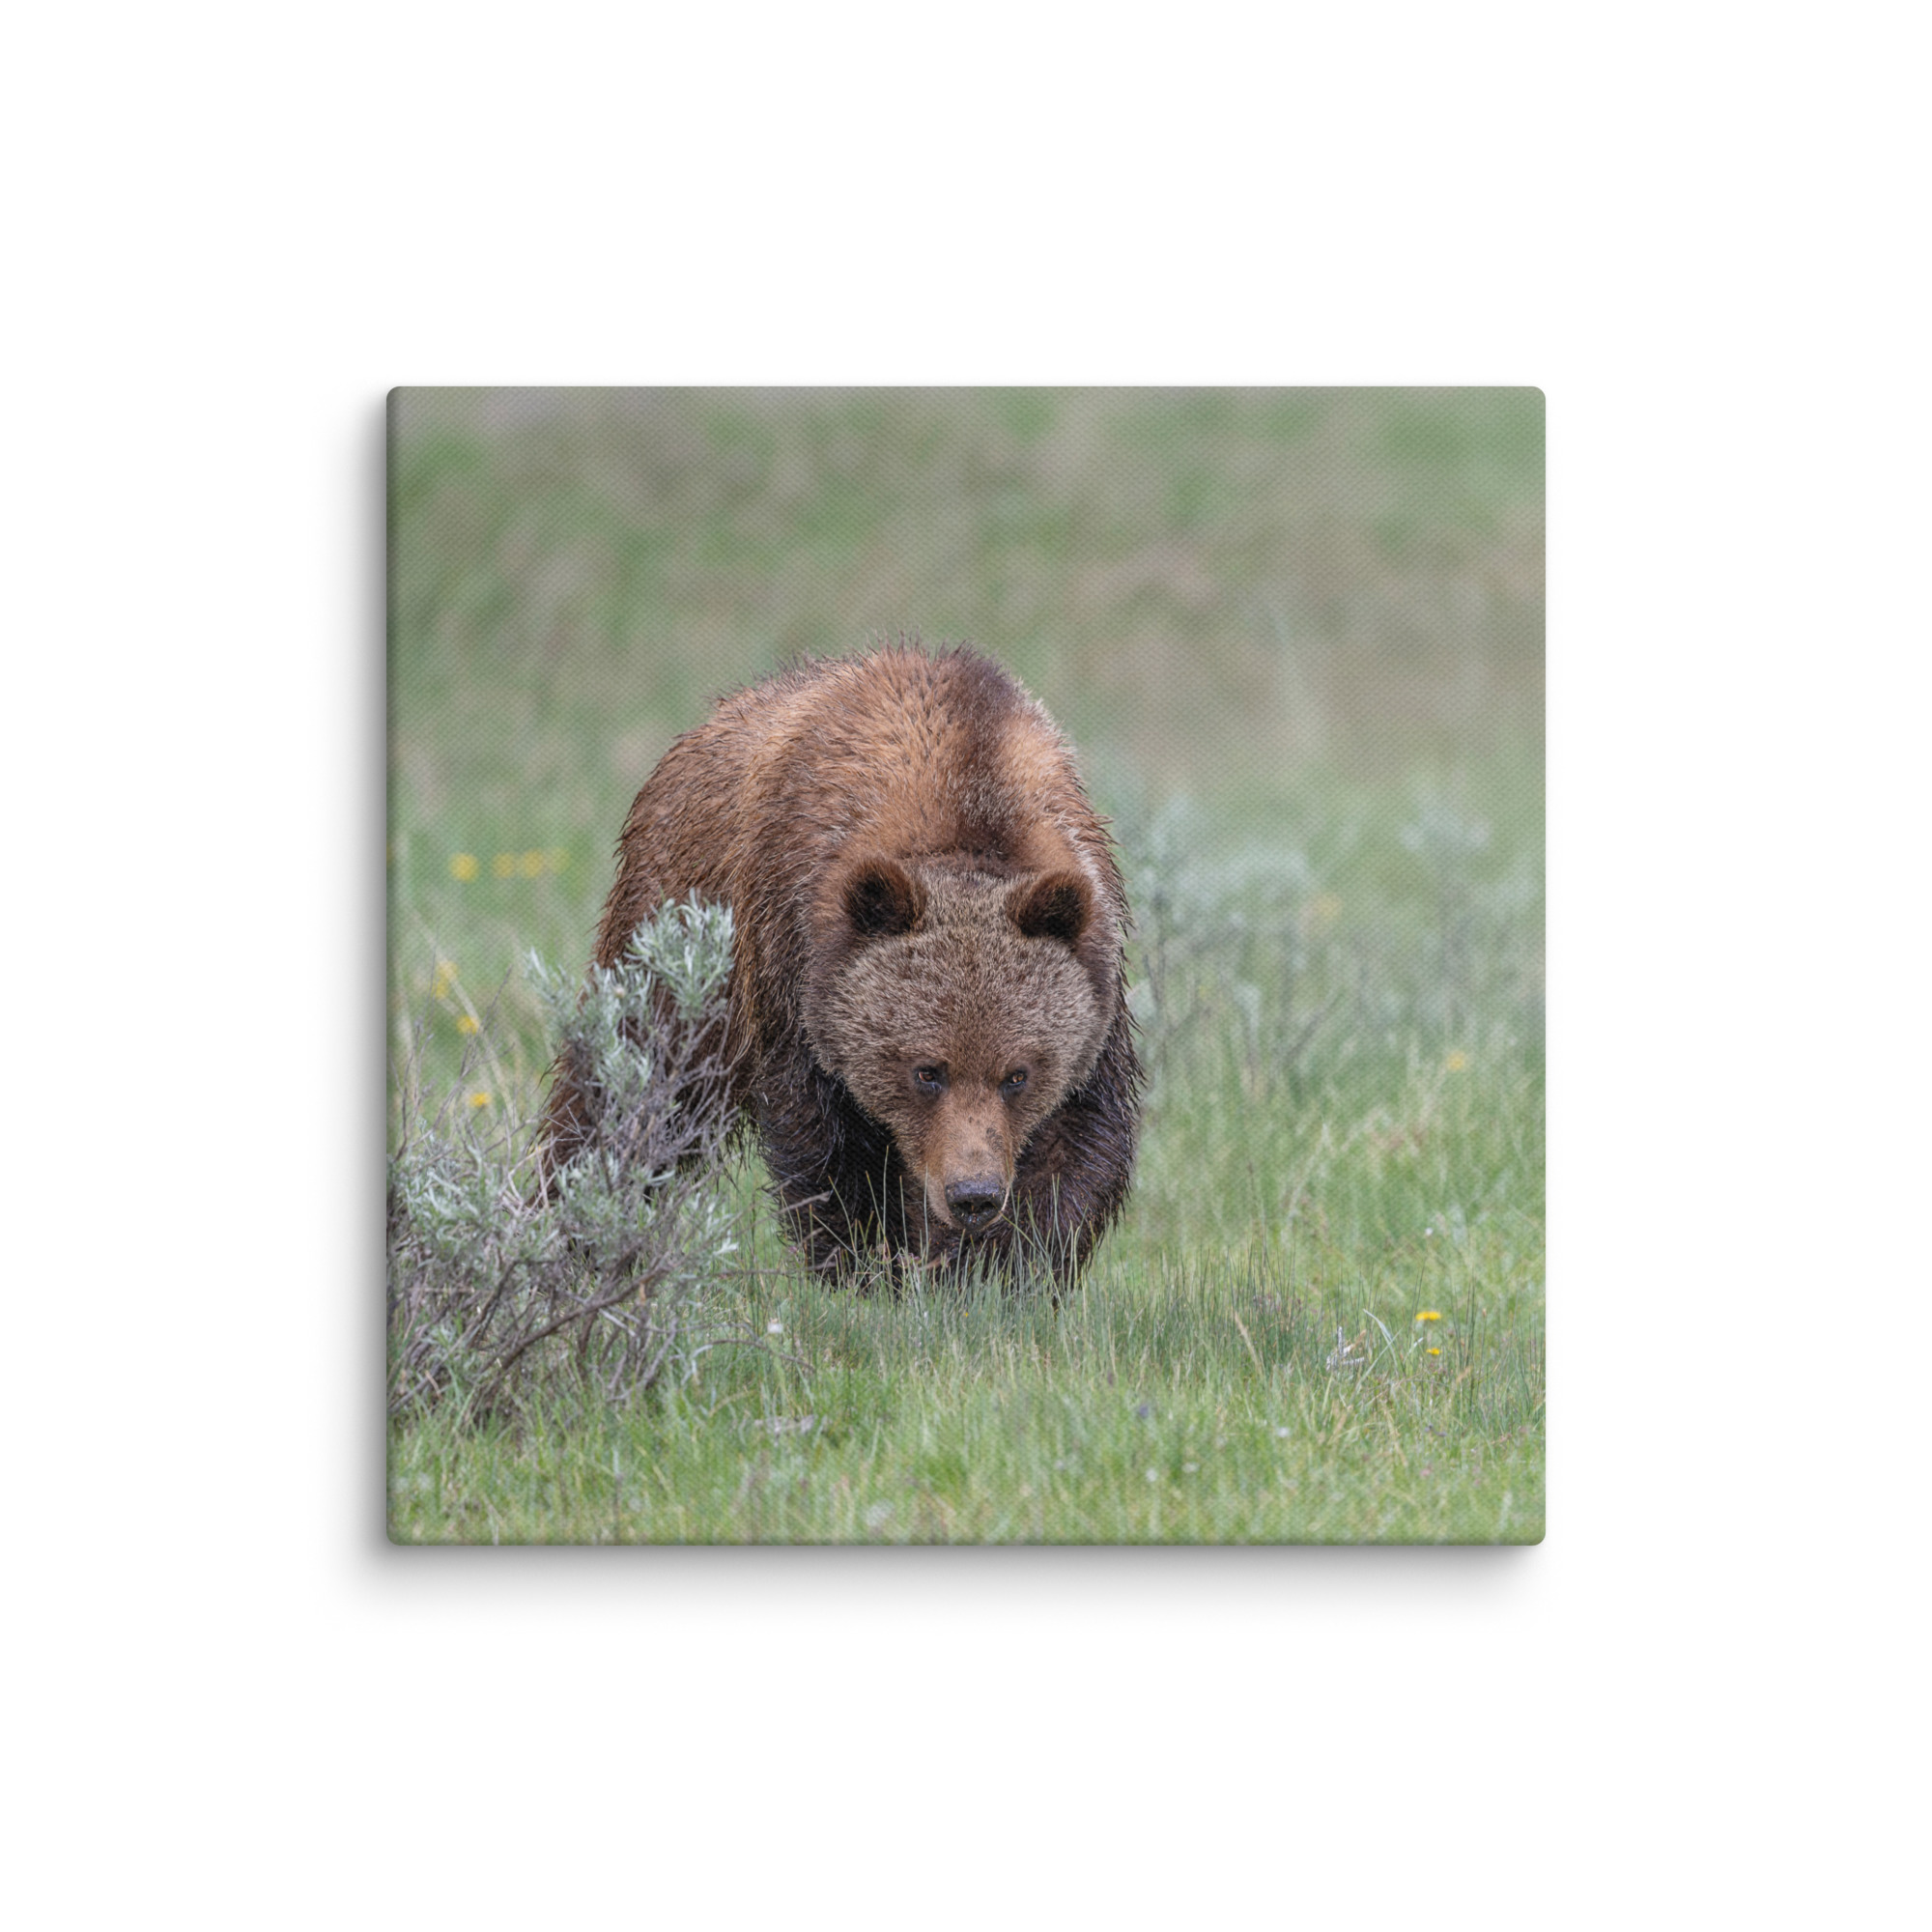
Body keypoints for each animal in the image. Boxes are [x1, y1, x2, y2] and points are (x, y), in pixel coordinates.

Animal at [543, 640, 1142, 1285]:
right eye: (926, 1070)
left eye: (1018, 1074)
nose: (973, 1195)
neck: (967, 798)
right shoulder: (793, 963)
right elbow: (829, 1147)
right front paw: (868, 1265)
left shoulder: (1095, 978)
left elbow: (1075, 1145)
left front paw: (997, 1270)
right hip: (675, 938)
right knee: (628, 1086)